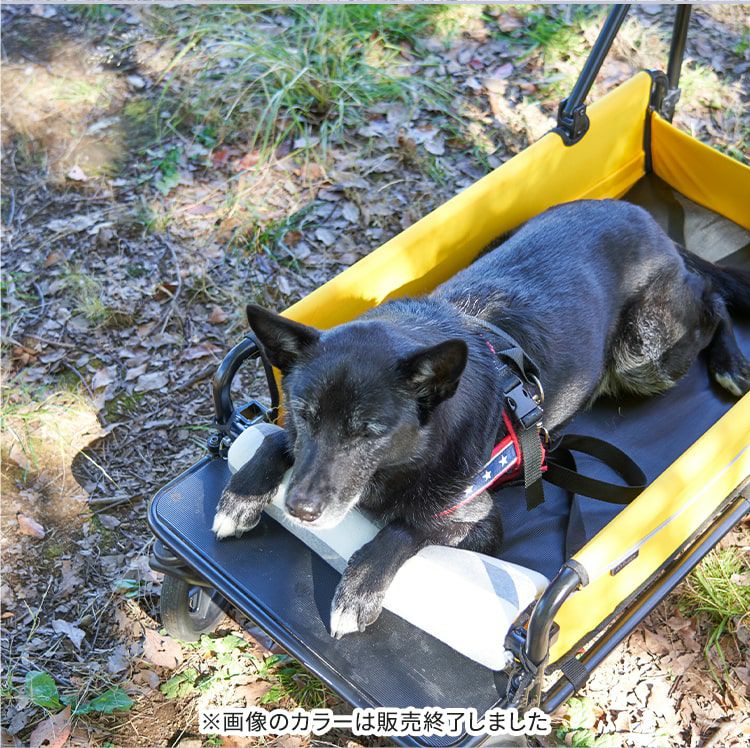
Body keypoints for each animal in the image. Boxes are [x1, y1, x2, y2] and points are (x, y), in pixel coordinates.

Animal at [213, 199, 750, 638]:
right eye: (305, 416)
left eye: (371, 432)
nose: (300, 510)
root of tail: (645, 219)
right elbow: (274, 440)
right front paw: (241, 494)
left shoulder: (479, 523)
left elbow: (405, 527)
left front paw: (359, 587)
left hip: (645, 353)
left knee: (712, 299)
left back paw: (731, 362)